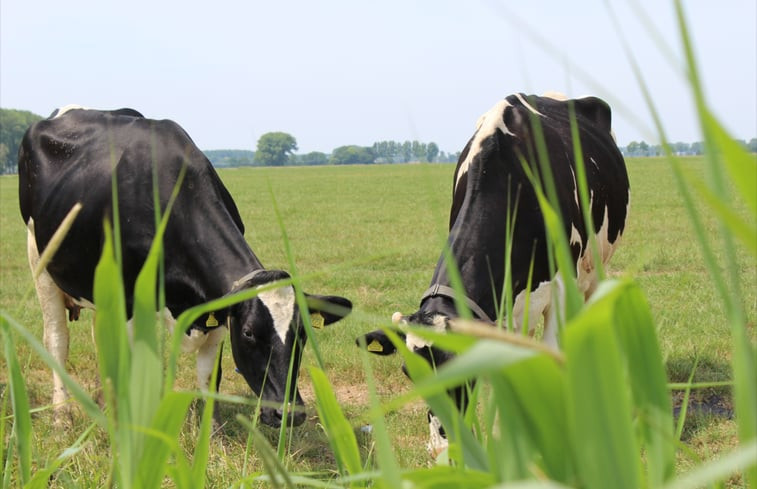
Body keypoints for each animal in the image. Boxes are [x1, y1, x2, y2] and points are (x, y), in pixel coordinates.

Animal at [19, 106, 352, 428]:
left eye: (303, 333)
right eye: (248, 333)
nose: (289, 414)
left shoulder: (216, 310)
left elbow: (209, 377)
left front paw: (212, 431)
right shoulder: (129, 303)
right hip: (40, 261)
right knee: (57, 340)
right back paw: (62, 417)